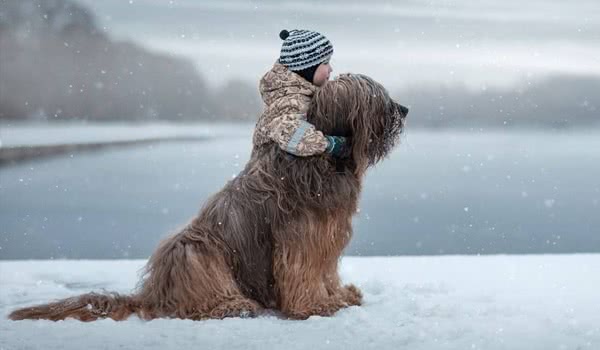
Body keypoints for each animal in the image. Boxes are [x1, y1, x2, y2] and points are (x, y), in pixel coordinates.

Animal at [8, 72, 408, 322]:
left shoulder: (327, 234)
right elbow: (304, 272)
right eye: (376, 97)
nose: (404, 110)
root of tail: (152, 293)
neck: (325, 158)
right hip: (196, 251)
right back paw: (233, 304)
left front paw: (339, 296)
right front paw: (315, 307)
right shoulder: (302, 237)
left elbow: (325, 271)